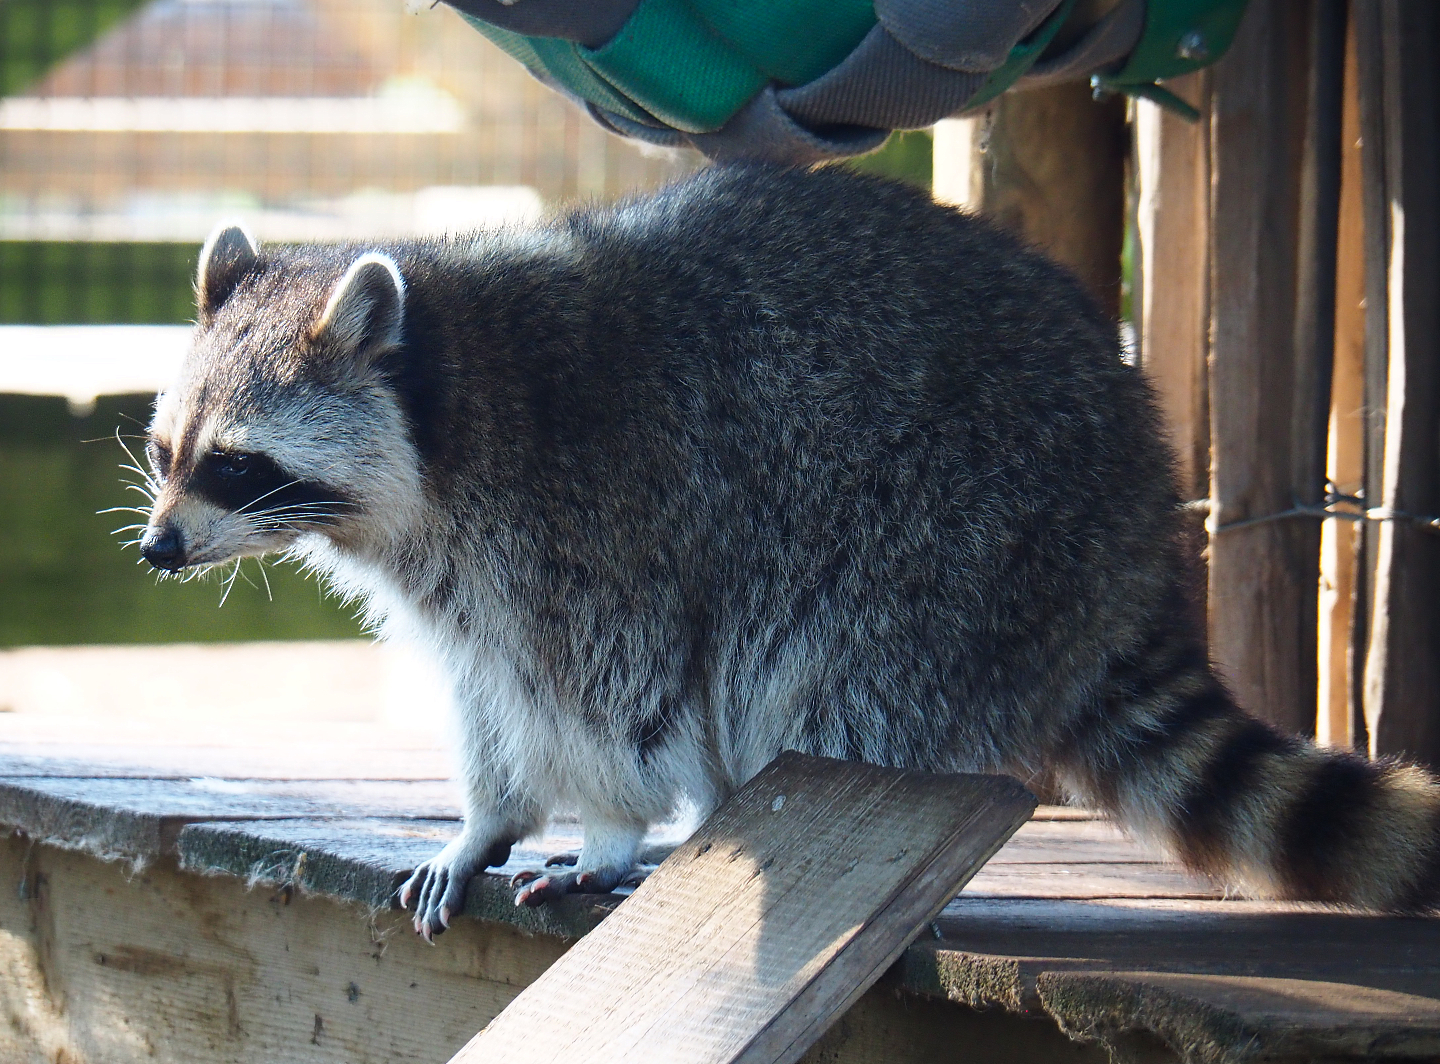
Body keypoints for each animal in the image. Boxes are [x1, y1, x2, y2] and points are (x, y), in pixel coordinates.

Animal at [137, 165, 1440, 940]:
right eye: (164, 448)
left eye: (236, 463)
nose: (156, 548)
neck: (444, 408)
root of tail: (1136, 528)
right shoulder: (466, 583)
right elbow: (491, 692)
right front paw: (487, 817)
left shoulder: (595, 514)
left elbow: (628, 692)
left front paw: (612, 829)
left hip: (963, 535)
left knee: (808, 674)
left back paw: (722, 815)